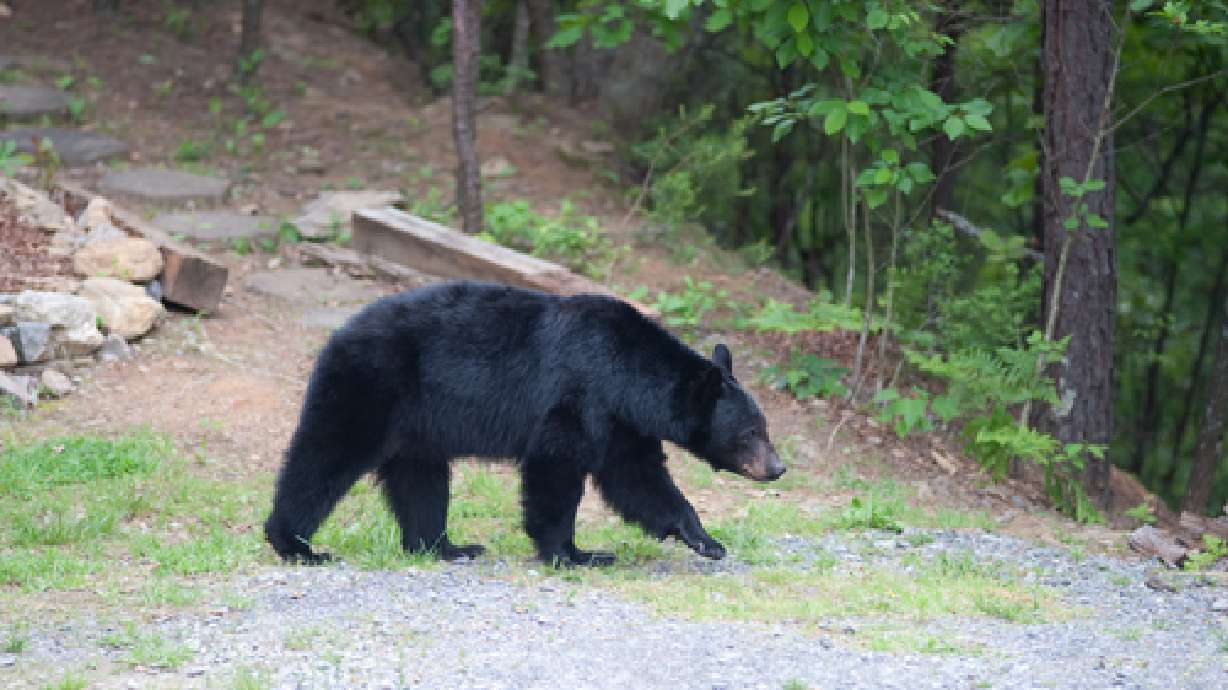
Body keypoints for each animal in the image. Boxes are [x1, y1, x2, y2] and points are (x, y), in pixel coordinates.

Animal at [264, 281, 784, 566]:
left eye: (764, 426)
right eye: (750, 432)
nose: (778, 468)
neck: (627, 372)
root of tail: (336, 334)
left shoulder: (621, 423)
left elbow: (637, 478)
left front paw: (704, 539)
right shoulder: (580, 395)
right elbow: (556, 468)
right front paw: (573, 554)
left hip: (416, 424)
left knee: (421, 480)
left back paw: (445, 546)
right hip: (369, 385)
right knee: (326, 455)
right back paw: (295, 544)